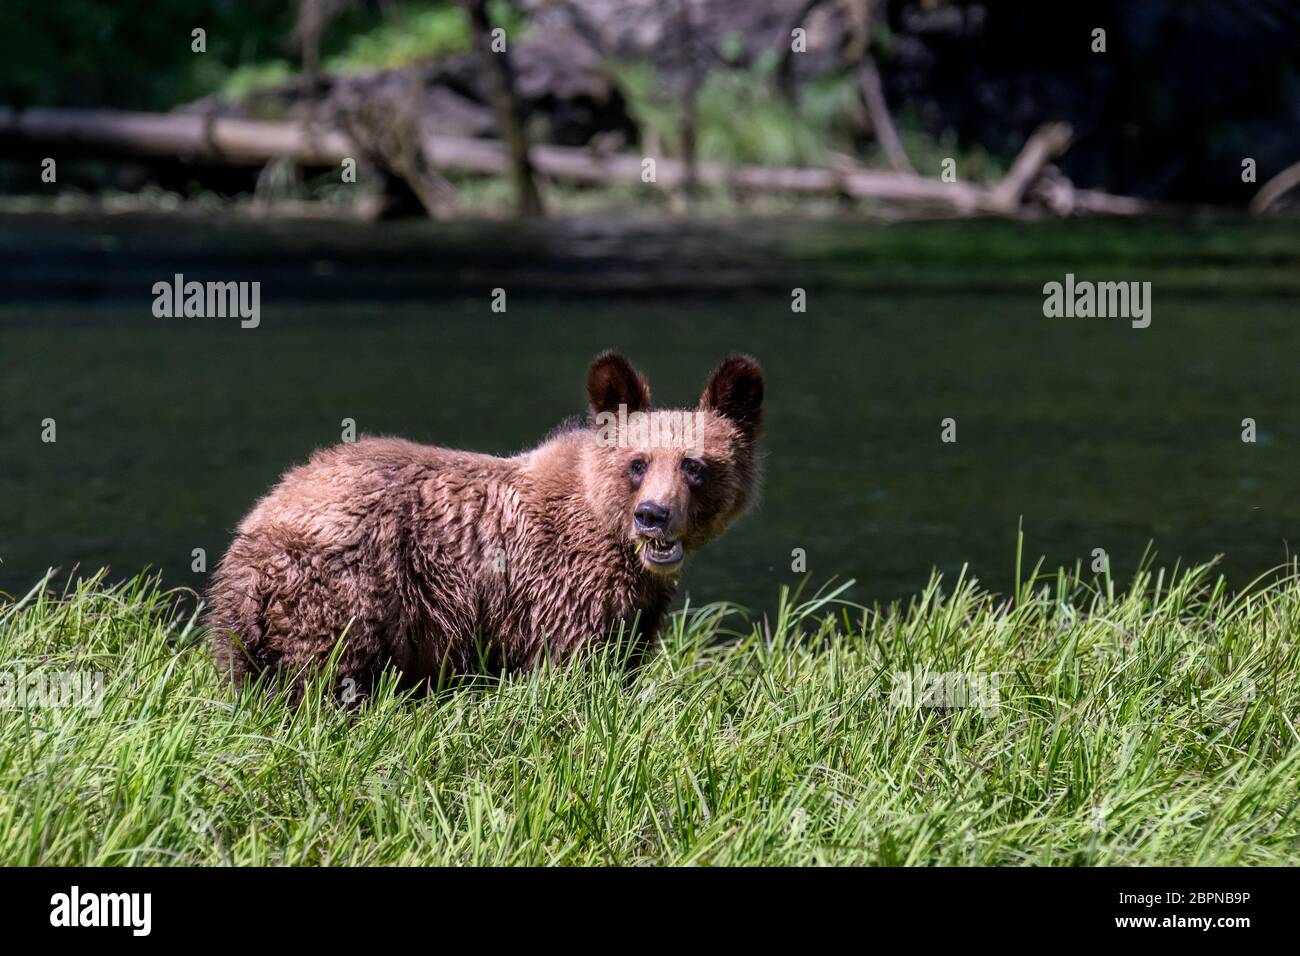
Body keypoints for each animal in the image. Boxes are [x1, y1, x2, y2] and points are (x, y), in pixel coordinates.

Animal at [205, 351, 759, 697]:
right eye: (638, 462)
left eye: (693, 464)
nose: (653, 516)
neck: (610, 531)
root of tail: (256, 525)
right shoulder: (560, 589)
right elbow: (574, 670)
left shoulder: (633, 607)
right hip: (347, 588)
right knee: (330, 674)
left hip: (245, 627)